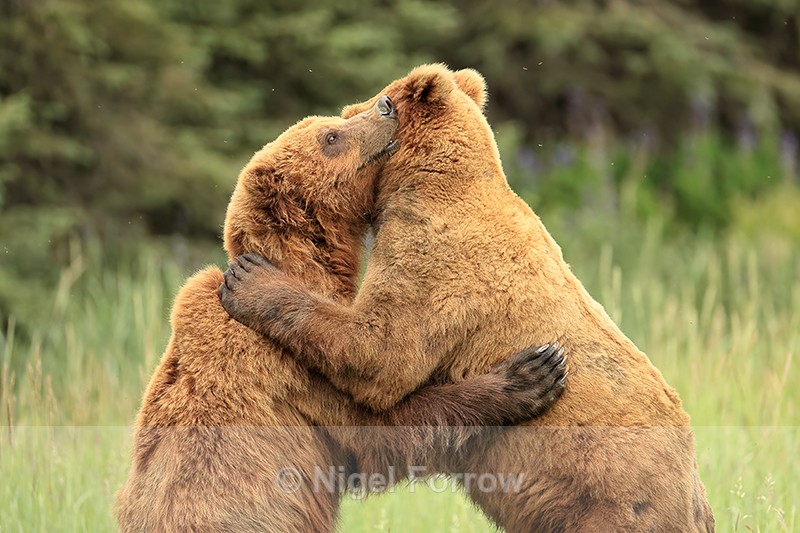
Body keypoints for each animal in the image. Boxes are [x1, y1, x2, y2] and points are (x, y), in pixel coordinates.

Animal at [116, 94, 568, 532]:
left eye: (332, 122)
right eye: (331, 136)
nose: (385, 106)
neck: (304, 269)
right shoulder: (289, 367)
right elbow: (378, 426)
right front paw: (530, 374)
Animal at [219, 64, 715, 532]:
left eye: (362, 108)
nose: (362, 108)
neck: (427, 183)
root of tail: (693, 497)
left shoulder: (437, 260)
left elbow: (383, 353)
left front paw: (249, 281)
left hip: (608, 499)